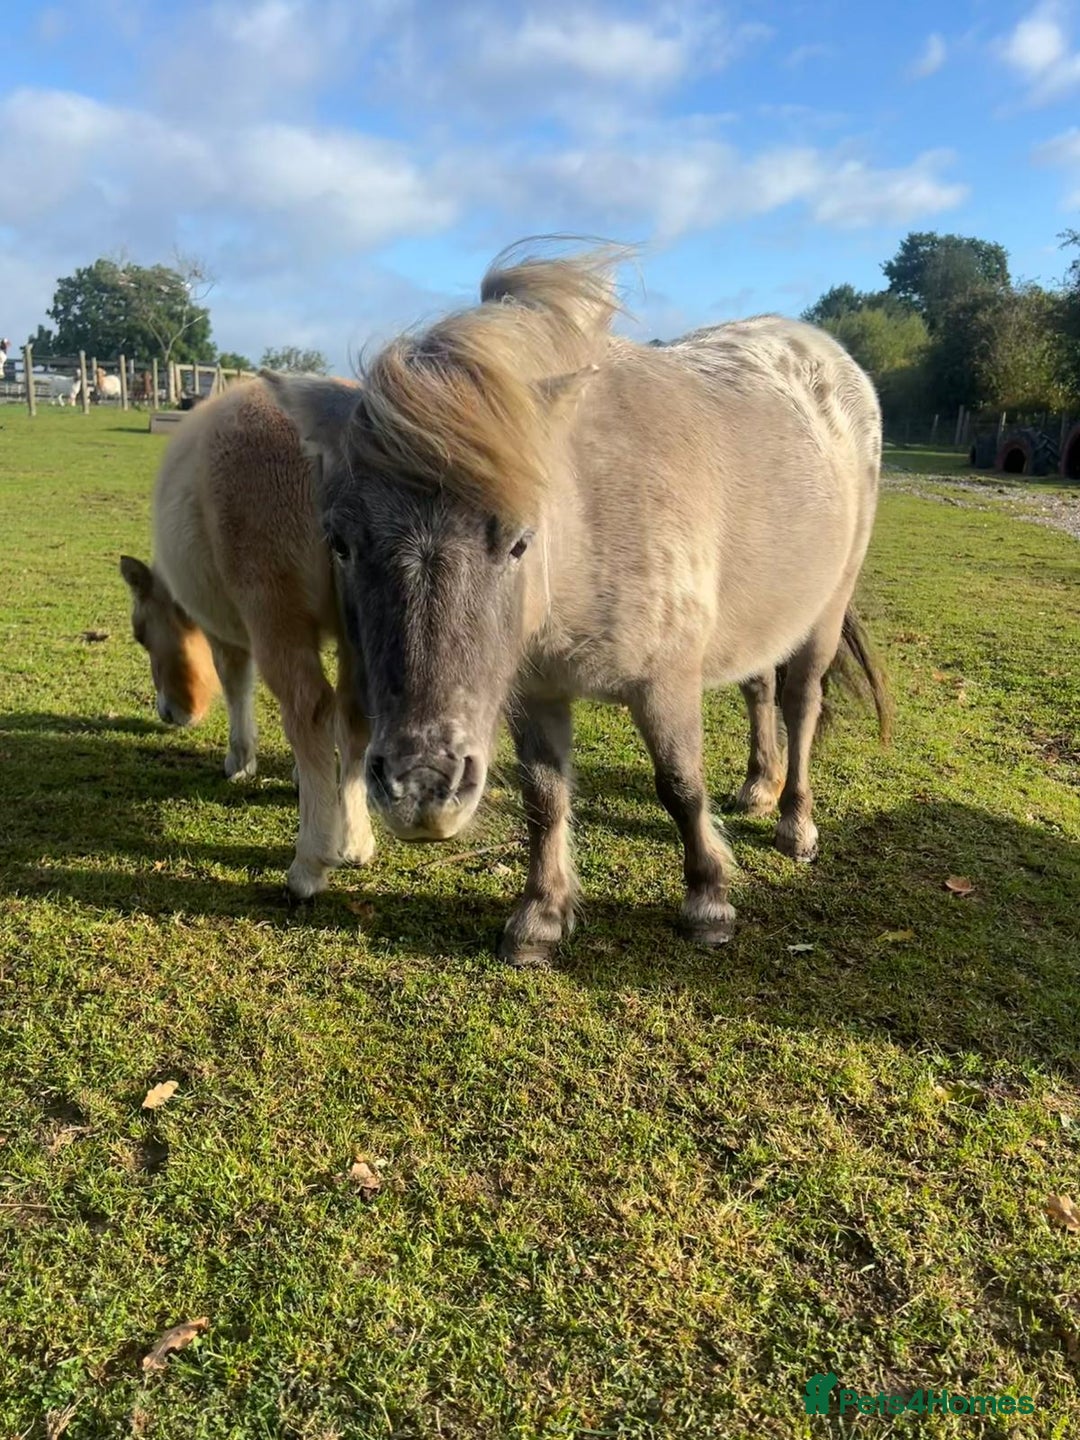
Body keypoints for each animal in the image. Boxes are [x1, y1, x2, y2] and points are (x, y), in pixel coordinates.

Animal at [119, 376, 375, 897]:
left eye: (140, 635)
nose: (168, 713)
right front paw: (305, 779)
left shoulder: (231, 633)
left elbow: (237, 687)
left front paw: (240, 761)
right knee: (353, 713)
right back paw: (355, 842)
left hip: (272, 607)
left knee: (309, 709)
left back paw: (308, 866)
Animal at [264, 241, 888, 967]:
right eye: (339, 541)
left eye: (519, 540)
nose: (420, 788)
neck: (587, 522)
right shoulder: (536, 691)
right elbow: (545, 796)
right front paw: (541, 915)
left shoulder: (666, 683)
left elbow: (681, 786)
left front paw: (708, 902)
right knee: (759, 688)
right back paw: (759, 789)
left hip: (824, 613)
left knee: (799, 704)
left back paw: (795, 823)